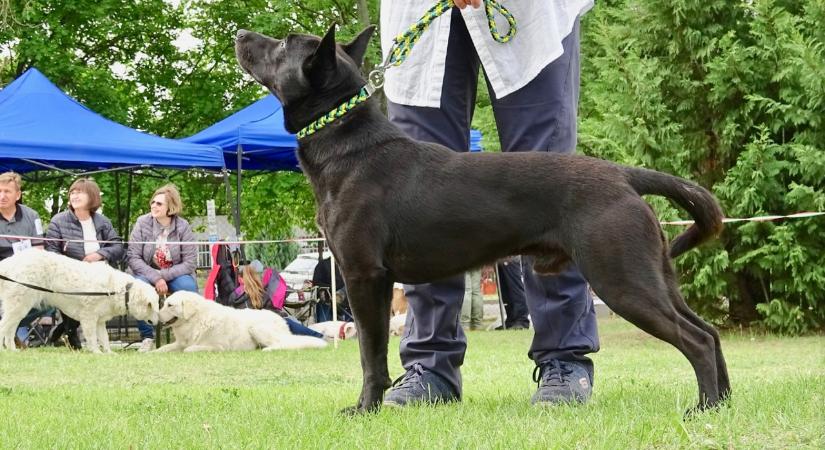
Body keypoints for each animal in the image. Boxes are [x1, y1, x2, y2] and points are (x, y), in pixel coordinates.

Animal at [0, 250, 160, 352]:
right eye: (153, 307)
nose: (159, 322)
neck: (121, 290)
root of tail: (9, 262)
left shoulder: (100, 321)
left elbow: (104, 338)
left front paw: (108, 353)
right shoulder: (88, 317)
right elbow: (92, 337)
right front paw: (96, 352)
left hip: (19, 308)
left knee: (10, 330)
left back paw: (12, 350)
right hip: (19, 305)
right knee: (4, 326)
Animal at [154, 292, 326, 352]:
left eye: (170, 305)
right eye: (164, 303)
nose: (155, 316)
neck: (196, 320)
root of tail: (281, 319)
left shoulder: (217, 347)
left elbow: (188, 350)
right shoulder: (179, 343)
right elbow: (163, 349)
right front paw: (151, 353)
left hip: (257, 328)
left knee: (282, 345)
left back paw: (268, 350)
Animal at [235, 25, 732, 414]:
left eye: (284, 44)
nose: (239, 34)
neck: (348, 145)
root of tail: (623, 174)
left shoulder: (363, 277)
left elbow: (370, 356)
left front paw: (365, 409)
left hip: (621, 279)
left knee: (696, 339)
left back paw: (703, 407)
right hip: (653, 276)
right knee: (708, 331)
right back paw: (722, 405)